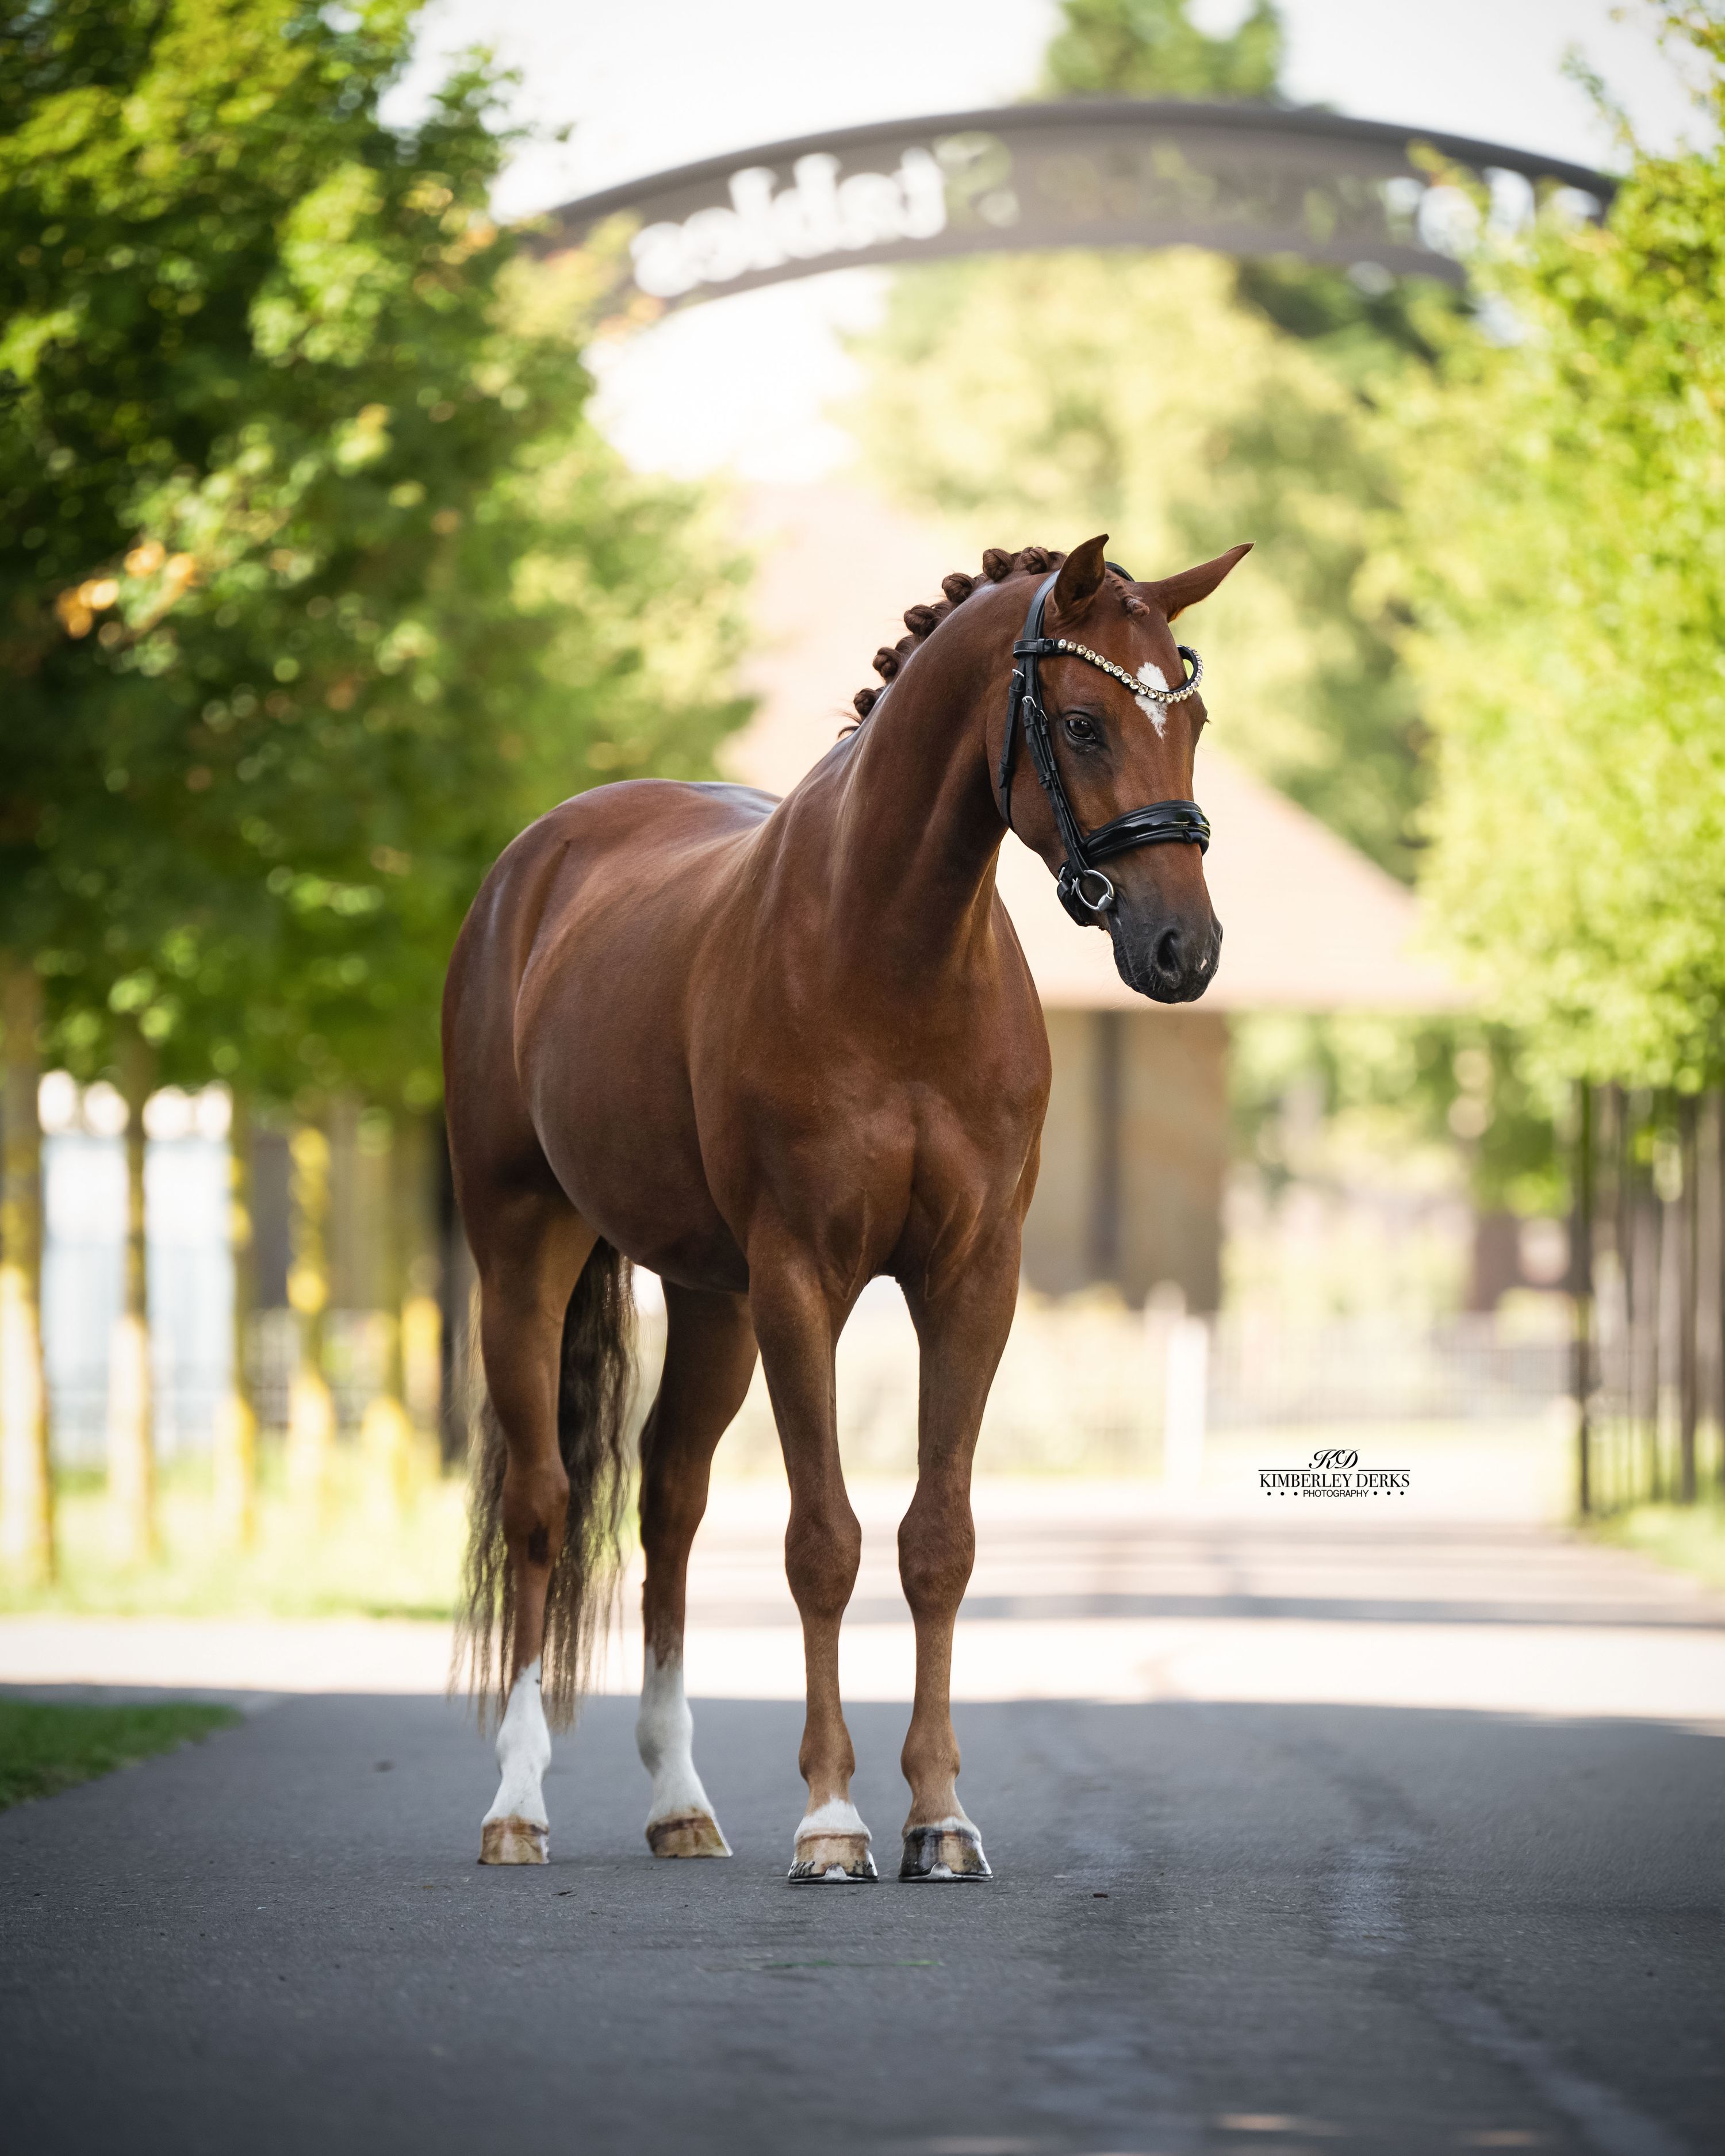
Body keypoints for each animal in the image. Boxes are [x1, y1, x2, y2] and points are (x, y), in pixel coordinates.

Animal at [444, 530, 1249, 1879]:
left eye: (1186, 716)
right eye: (1084, 723)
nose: (1183, 948)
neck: (892, 957)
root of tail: (534, 863)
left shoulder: (972, 1281)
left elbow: (939, 1541)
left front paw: (940, 1817)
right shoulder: (801, 1280)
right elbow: (822, 1541)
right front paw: (831, 1820)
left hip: (709, 1298)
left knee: (669, 1504)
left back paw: (681, 1803)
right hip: (525, 1248)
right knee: (544, 1506)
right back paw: (513, 1804)